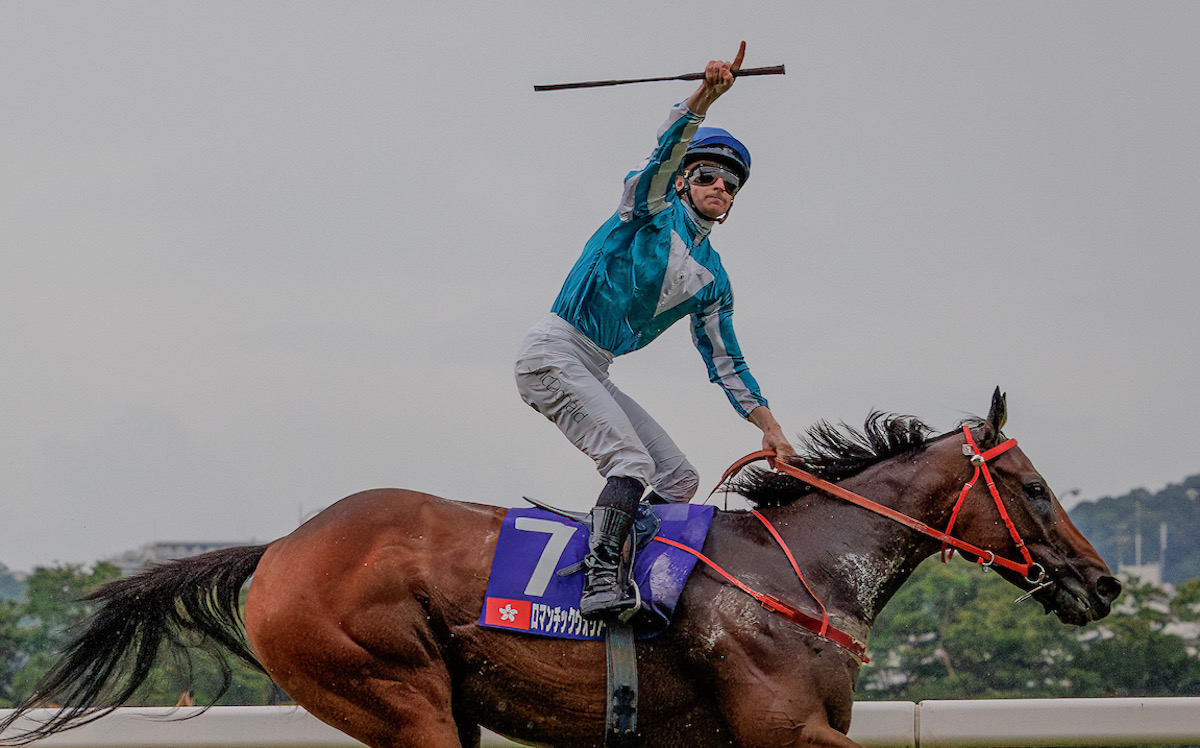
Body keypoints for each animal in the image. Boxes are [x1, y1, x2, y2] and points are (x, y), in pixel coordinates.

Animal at [4, 391, 1118, 748]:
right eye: (1031, 486)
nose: (1104, 582)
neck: (801, 571)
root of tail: (278, 549)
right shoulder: (783, 727)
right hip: (393, 689)